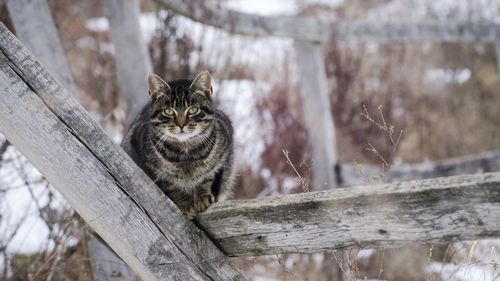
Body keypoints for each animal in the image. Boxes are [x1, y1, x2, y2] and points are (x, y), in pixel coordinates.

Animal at [123, 70, 236, 219]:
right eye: (168, 111)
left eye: (193, 110)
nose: (181, 124)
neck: (186, 154)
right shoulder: (153, 170)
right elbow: (171, 186)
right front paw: (186, 204)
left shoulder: (224, 156)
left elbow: (207, 178)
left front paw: (202, 197)